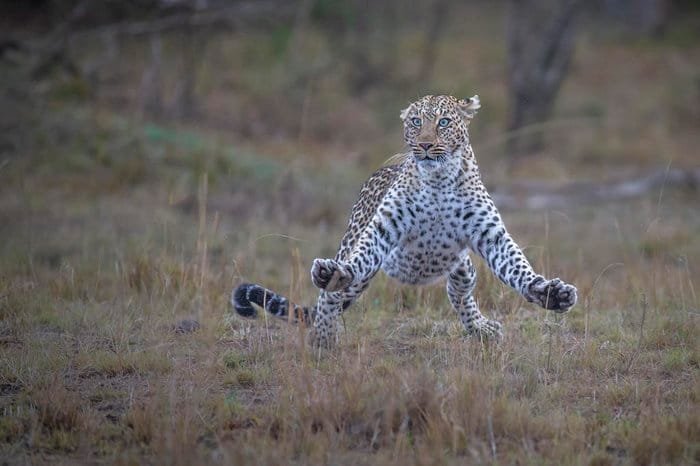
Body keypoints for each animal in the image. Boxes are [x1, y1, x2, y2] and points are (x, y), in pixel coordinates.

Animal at [232, 94, 576, 348]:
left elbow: (517, 266)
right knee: (331, 297)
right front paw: (335, 276)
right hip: (356, 253)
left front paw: (550, 293)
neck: (438, 180)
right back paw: (323, 336)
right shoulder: (383, 228)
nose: (424, 144)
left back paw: (481, 329)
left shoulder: (491, 236)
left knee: (459, 292)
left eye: (443, 122)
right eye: (416, 122)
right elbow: (358, 259)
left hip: (462, 267)